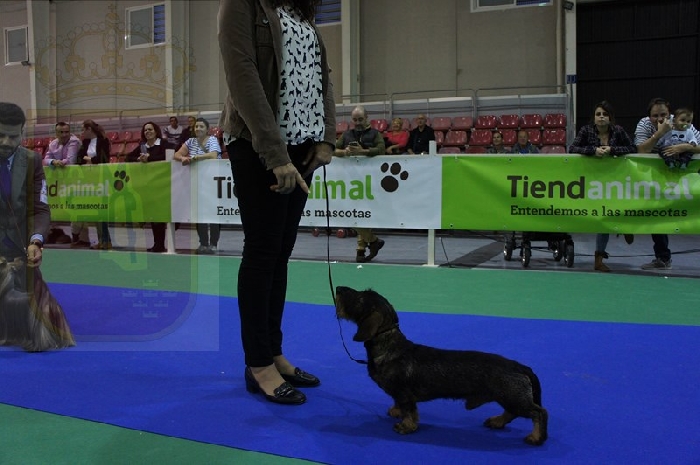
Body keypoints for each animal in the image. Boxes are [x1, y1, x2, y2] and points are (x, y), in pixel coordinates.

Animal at [334, 286, 548, 446]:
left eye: (360, 298)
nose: (338, 288)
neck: (389, 346)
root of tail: (521, 367)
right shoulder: (399, 394)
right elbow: (399, 405)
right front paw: (396, 412)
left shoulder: (404, 393)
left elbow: (409, 411)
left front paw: (406, 426)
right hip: (509, 398)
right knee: (512, 412)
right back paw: (497, 421)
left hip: (512, 397)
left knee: (539, 412)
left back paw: (536, 436)